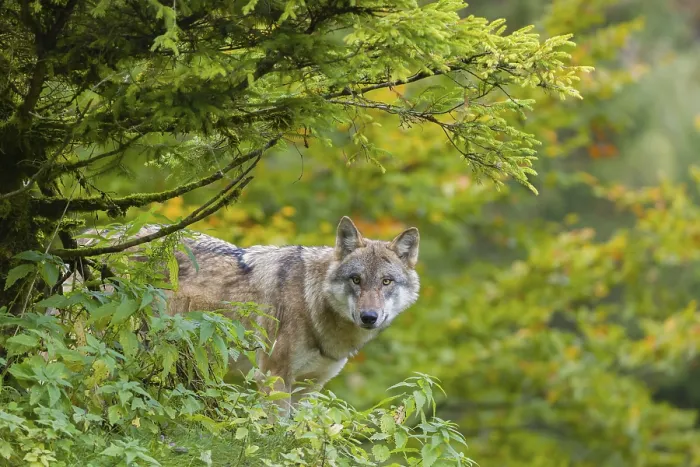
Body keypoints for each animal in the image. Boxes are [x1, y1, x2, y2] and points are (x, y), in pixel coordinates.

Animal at [159, 216, 420, 397]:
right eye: (356, 279)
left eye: (386, 281)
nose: (369, 317)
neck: (309, 300)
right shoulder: (274, 377)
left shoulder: (310, 386)